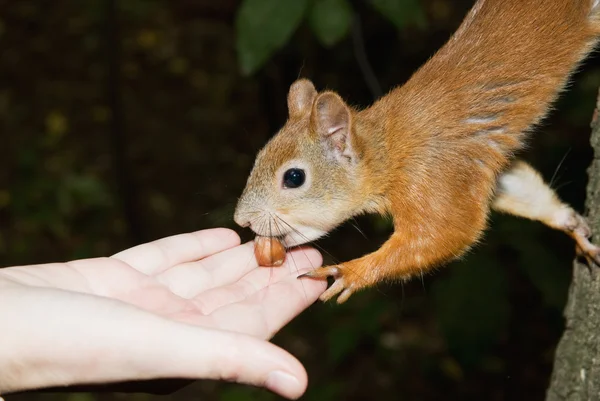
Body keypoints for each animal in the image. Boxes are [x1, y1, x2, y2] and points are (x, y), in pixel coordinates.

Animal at [234, 0, 600, 300]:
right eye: (258, 158)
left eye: (294, 177)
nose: (242, 220)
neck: (389, 149)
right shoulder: (477, 171)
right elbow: (516, 186)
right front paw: (571, 225)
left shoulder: (432, 176)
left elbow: (448, 232)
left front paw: (350, 271)